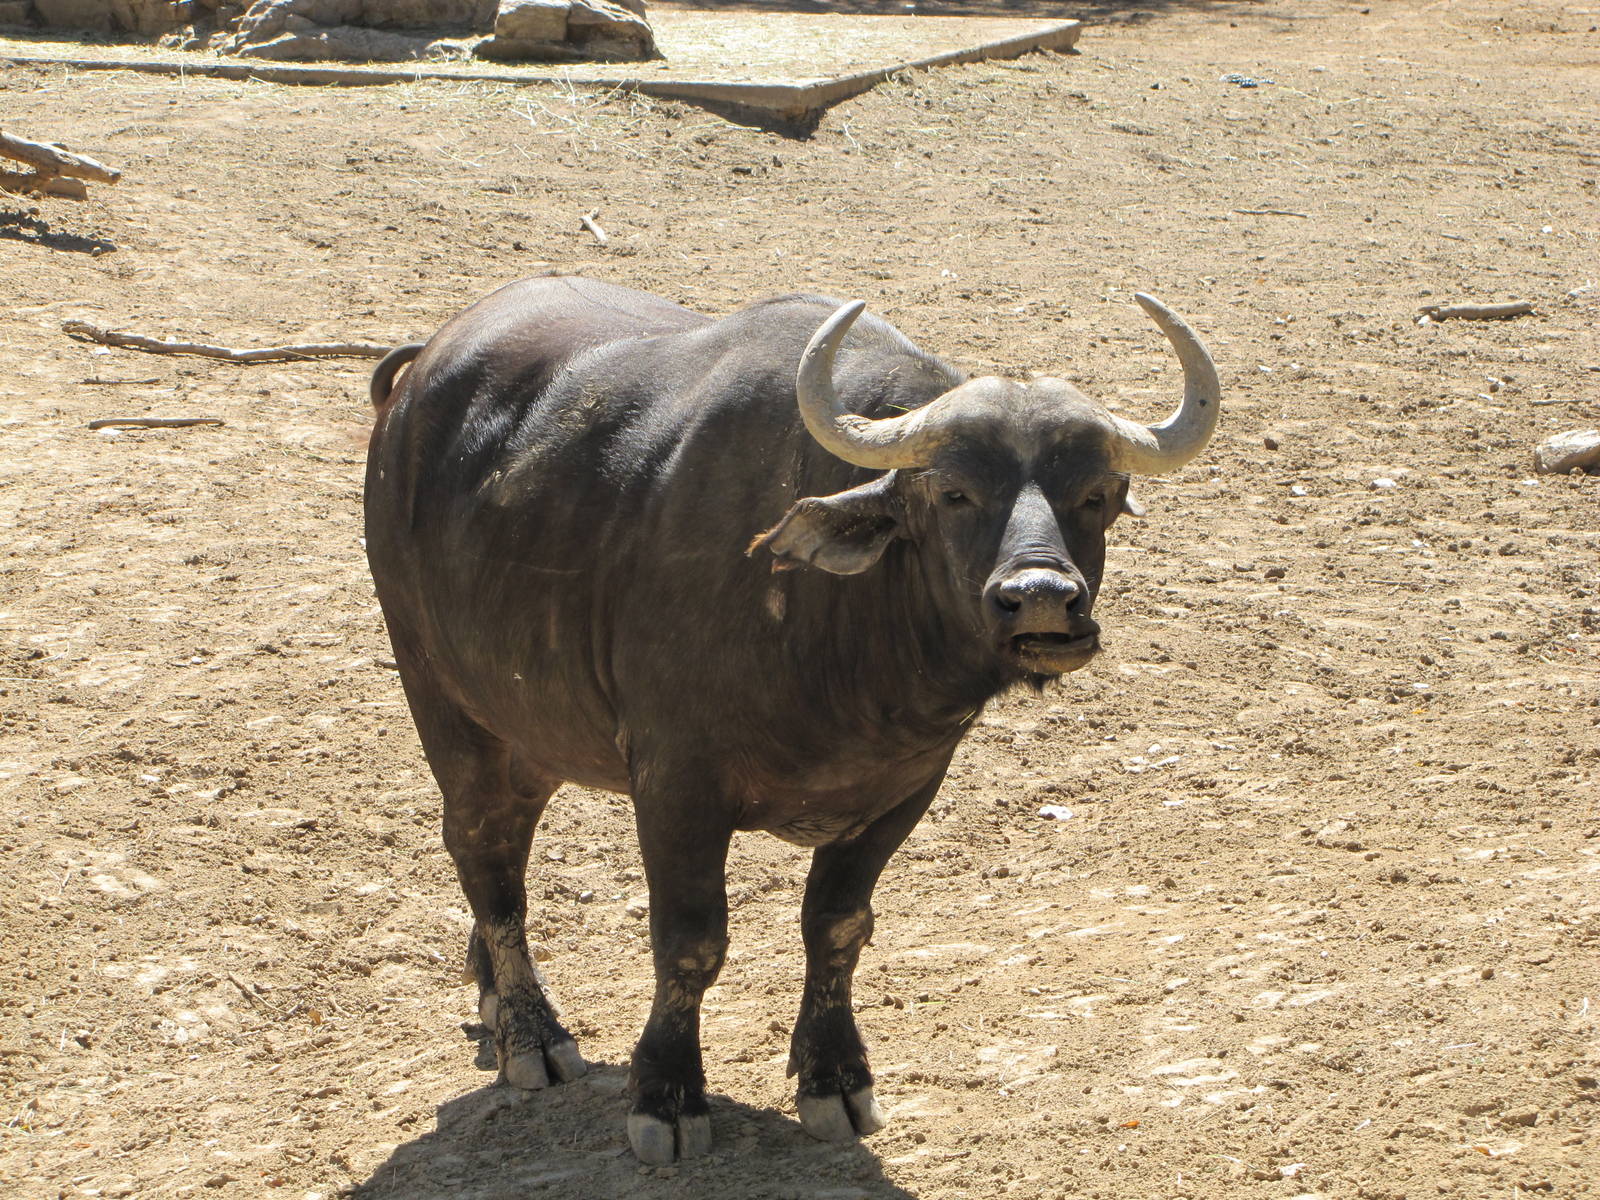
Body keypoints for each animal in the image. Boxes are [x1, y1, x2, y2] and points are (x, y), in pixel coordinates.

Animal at [363, 275, 1219, 1164]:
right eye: (952, 492)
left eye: (1098, 495)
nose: (1044, 601)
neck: (841, 644)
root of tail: (414, 382)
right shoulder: (676, 785)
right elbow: (691, 943)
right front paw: (666, 1093)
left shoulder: (906, 788)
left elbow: (837, 927)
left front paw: (834, 1077)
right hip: (444, 702)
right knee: (484, 852)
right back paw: (533, 1034)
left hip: (532, 728)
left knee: (506, 846)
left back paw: (494, 995)